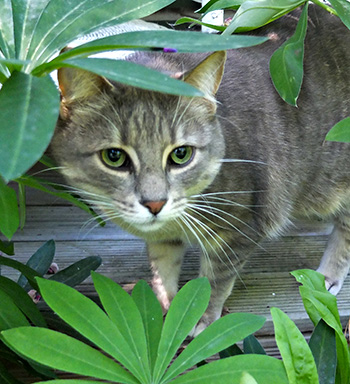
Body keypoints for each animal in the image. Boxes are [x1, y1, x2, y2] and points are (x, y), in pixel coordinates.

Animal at [51, 6, 350, 336]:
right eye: (114, 157)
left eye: (181, 154)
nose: (155, 203)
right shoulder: (162, 240)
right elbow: (162, 268)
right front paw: (163, 307)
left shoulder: (241, 227)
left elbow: (215, 279)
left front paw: (201, 316)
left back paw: (327, 276)